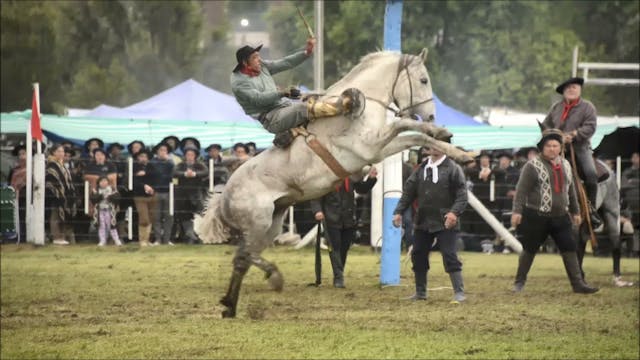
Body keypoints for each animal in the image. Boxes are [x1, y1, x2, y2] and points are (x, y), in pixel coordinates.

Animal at [196, 48, 476, 318]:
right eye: (423, 80)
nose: (431, 115)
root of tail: (224, 198)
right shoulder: (372, 146)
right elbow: (406, 127)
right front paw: (457, 149)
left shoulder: (377, 147)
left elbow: (408, 130)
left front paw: (446, 138)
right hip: (258, 223)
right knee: (243, 258)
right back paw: (243, 297)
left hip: (272, 223)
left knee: (246, 257)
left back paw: (246, 294)